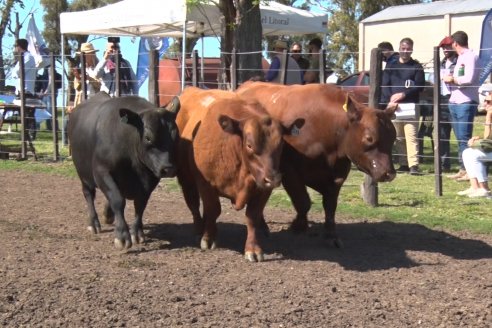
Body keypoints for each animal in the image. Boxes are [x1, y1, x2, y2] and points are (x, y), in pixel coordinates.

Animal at [67, 91, 179, 250]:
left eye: (176, 136)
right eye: (148, 137)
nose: (168, 168)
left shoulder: (149, 179)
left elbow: (140, 204)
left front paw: (137, 233)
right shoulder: (102, 172)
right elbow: (117, 200)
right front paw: (122, 235)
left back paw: (108, 215)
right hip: (84, 175)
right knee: (89, 195)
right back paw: (93, 223)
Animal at [177, 86, 304, 262]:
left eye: (281, 145)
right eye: (249, 145)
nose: (273, 179)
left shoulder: (263, 189)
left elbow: (252, 216)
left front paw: (253, 248)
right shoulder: (205, 184)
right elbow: (213, 209)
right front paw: (208, 237)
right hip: (186, 179)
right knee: (194, 205)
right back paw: (199, 229)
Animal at [236, 81, 398, 246]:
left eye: (393, 137)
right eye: (369, 138)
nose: (389, 173)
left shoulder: (337, 175)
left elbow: (330, 205)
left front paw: (331, 235)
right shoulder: (289, 171)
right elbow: (303, 202)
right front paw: (298, 226)